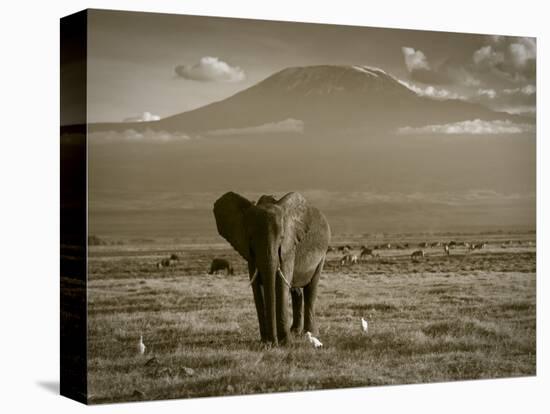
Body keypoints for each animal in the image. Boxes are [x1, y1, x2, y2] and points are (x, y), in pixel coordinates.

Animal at [213, 191, 330, 346]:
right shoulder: (251, 254)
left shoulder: (288, 248)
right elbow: (257, 287)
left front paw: (285, 343)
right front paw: (265, 343)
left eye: (281, 237)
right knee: (296, 291)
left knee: (311, 289)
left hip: (322, 254)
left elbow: (280, 285)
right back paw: (295, 332)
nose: (273, 342)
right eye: (251, 239)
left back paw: (309, 334)